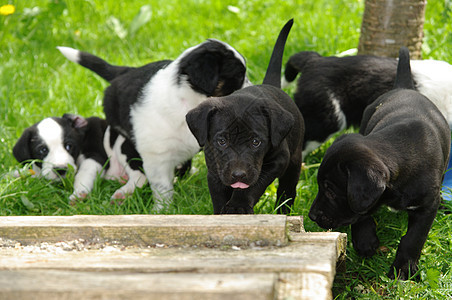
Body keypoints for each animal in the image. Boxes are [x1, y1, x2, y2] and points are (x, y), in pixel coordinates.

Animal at [57, 38, 249, 211]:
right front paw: (162, 210)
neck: (188, 102)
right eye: (239, 76)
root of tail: (127, 71)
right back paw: (122, 193)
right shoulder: (156, 156)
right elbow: (162, 187)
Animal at [185, 18, 306, 214]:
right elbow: (218, 196)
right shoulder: (215, 171)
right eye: (222, 141)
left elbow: (255, 184)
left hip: (294, 161)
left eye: (256, 142)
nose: (238, 175)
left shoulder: (278, 160)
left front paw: (238, 206)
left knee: (286, 191)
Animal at [308, 47, 450, 282]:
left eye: (330, 190)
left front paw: (402, 270)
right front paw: (366, 242)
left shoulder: (428, 205)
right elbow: (361, 215)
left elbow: (413, 238)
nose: (311, 216)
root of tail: (403, 86)